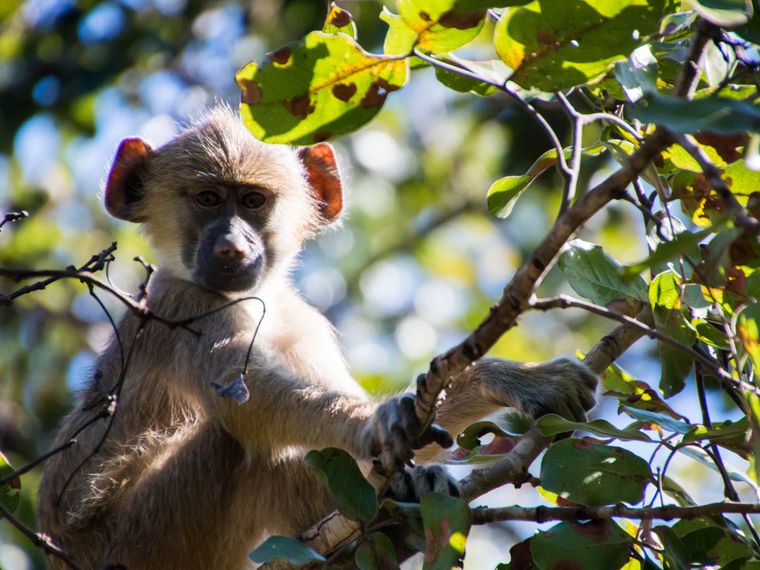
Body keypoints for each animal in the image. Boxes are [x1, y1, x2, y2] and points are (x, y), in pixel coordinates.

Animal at [36, 106, 597, 570]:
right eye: (207, 199)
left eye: (253, 200)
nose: (232, 247)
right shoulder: (185, 307)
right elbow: (245, 400)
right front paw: (380, 426)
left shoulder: (304, 324)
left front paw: (511, 381)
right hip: (151, 539)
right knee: (235, 440)